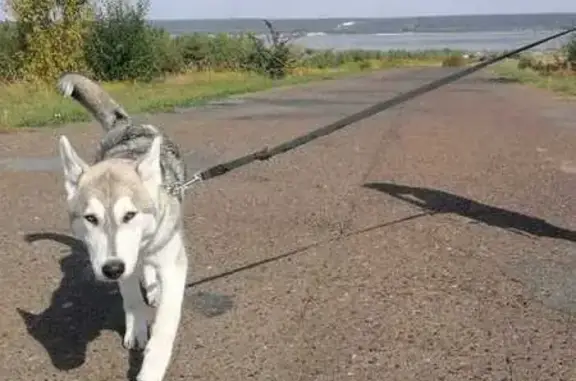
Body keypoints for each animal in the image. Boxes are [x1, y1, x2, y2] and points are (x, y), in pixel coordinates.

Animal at [56, 72, 188, 378]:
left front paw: (151, 370)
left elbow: (164, 326)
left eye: (130, 215)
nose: (112, 269)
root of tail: (125, 123)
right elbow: (130, 297)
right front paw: (136, 329)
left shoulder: (174, 265)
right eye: (91, 218)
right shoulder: (120, 261)